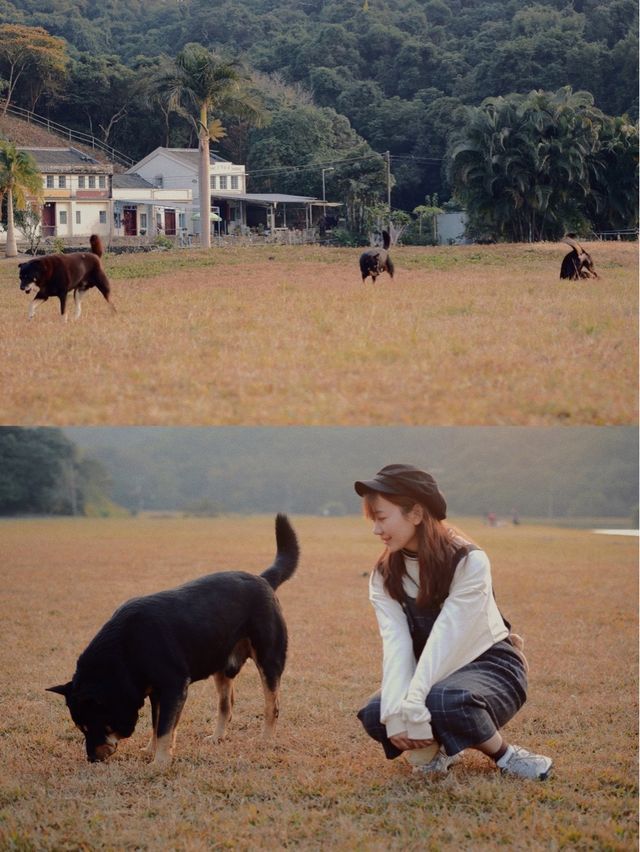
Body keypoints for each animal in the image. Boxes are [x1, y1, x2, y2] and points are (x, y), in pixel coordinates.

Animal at [47, 516, 300, 768]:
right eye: (81, 728)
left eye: (92, 726)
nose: (91, 759)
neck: (126, 650)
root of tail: (263, 579)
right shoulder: (157, 692)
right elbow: (157, 723)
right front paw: (152, 751)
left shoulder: (174, 687)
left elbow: (164, 728)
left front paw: (159, 762)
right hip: (221, 665)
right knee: (226, 706)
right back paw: (217, 737)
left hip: (269, 660)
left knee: (272, 705)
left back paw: (266, 739)